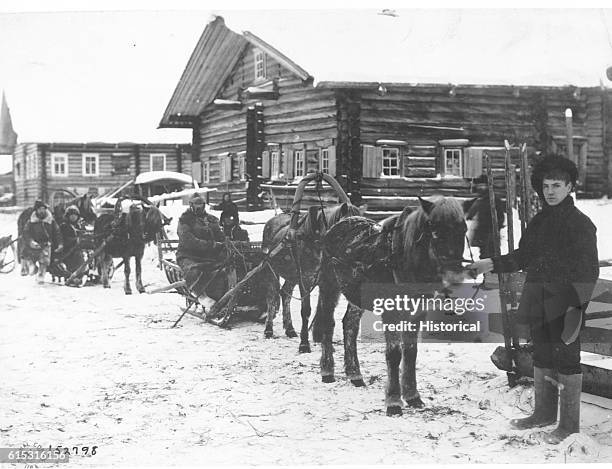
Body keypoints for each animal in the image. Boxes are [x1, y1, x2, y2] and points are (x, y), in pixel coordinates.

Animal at [316, 196, 468, 414]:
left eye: (464, 229)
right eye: (435, 229)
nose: (454, 275)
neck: (403, 259)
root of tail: (342, 222)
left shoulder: (418, 313)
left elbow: (411, 352)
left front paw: (412, 396)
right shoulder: (392, 312)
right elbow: (395, 353)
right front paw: (394, 401)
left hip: (356, 294)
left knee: (350, 326)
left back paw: (355, 374)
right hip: (329, 285)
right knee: (328, 323)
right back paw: (327, 371)